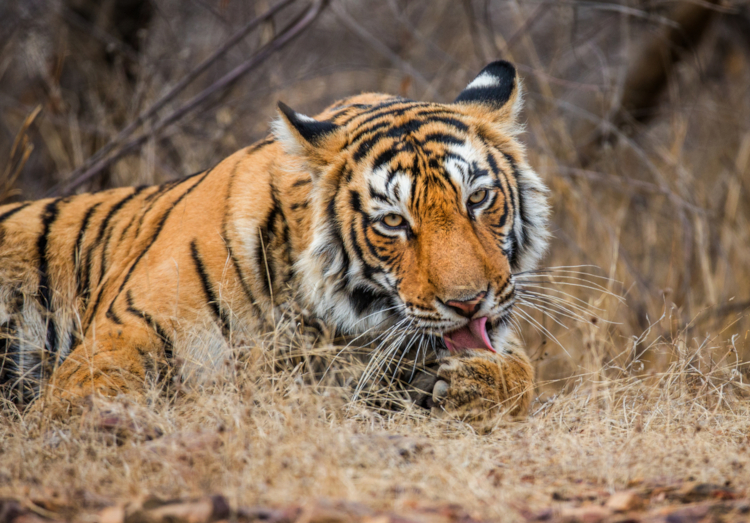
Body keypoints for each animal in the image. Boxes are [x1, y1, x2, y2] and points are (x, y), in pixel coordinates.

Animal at [0, 61, 552, 422]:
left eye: (477, 198)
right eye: (394, 222)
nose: (469, 303)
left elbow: (520, 370)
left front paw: (468, 383)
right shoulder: (118, 338)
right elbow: (92, 400)